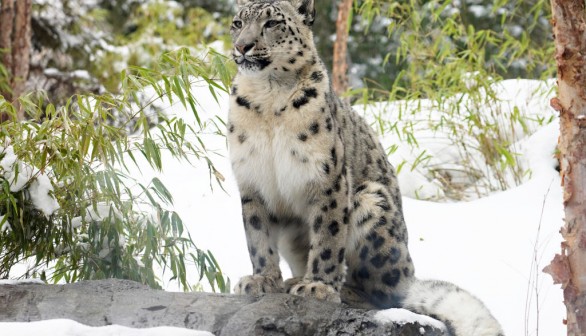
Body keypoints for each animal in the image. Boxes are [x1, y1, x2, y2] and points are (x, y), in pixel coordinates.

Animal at [226, 1, 504, 334]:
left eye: (272, 23)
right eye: (238, 23)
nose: (242, 45)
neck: (267, 98)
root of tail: (408, 271)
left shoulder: (328, 178)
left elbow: (328, 236)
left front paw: (318, 286)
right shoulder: (251, 179)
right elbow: (257, 235)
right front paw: (261, 280)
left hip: (372, 203)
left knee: (387, 294)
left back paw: (337, 287)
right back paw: (294, 279)